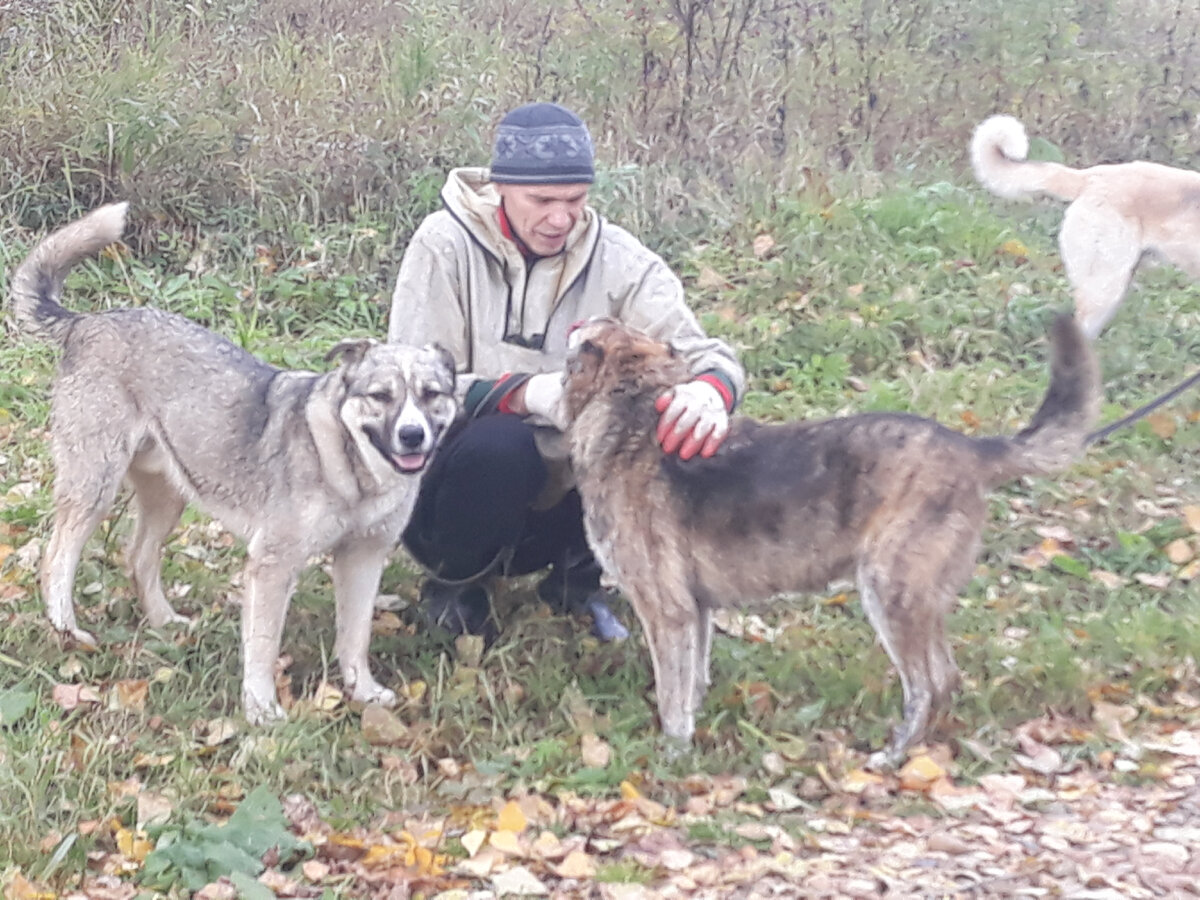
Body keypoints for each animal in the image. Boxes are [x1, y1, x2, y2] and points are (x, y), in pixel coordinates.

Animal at [8, 204, 458, 724]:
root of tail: (86, 322)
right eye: (381, 396)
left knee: (138, 556)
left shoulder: (363, 559)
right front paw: (261, 709)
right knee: (57, 555)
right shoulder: (272, 566)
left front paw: (362, 690)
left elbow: (356, 635)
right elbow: (263, 645)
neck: (350, 469)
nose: (412, 435)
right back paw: (67, 629)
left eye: (431, 394)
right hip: (95, 485)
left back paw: (164, 621)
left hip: (169, 494)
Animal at [561, 314, 1099, 763]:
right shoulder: (695, 612)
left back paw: (895, 755)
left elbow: (673, 700)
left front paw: (673, 757)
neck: (630, 414)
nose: (574, 325)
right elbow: (693, 682)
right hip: (917, 601)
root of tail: (970, 447)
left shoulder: (667, 613)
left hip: (889, 594)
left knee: (928, 683)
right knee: (947, 677)